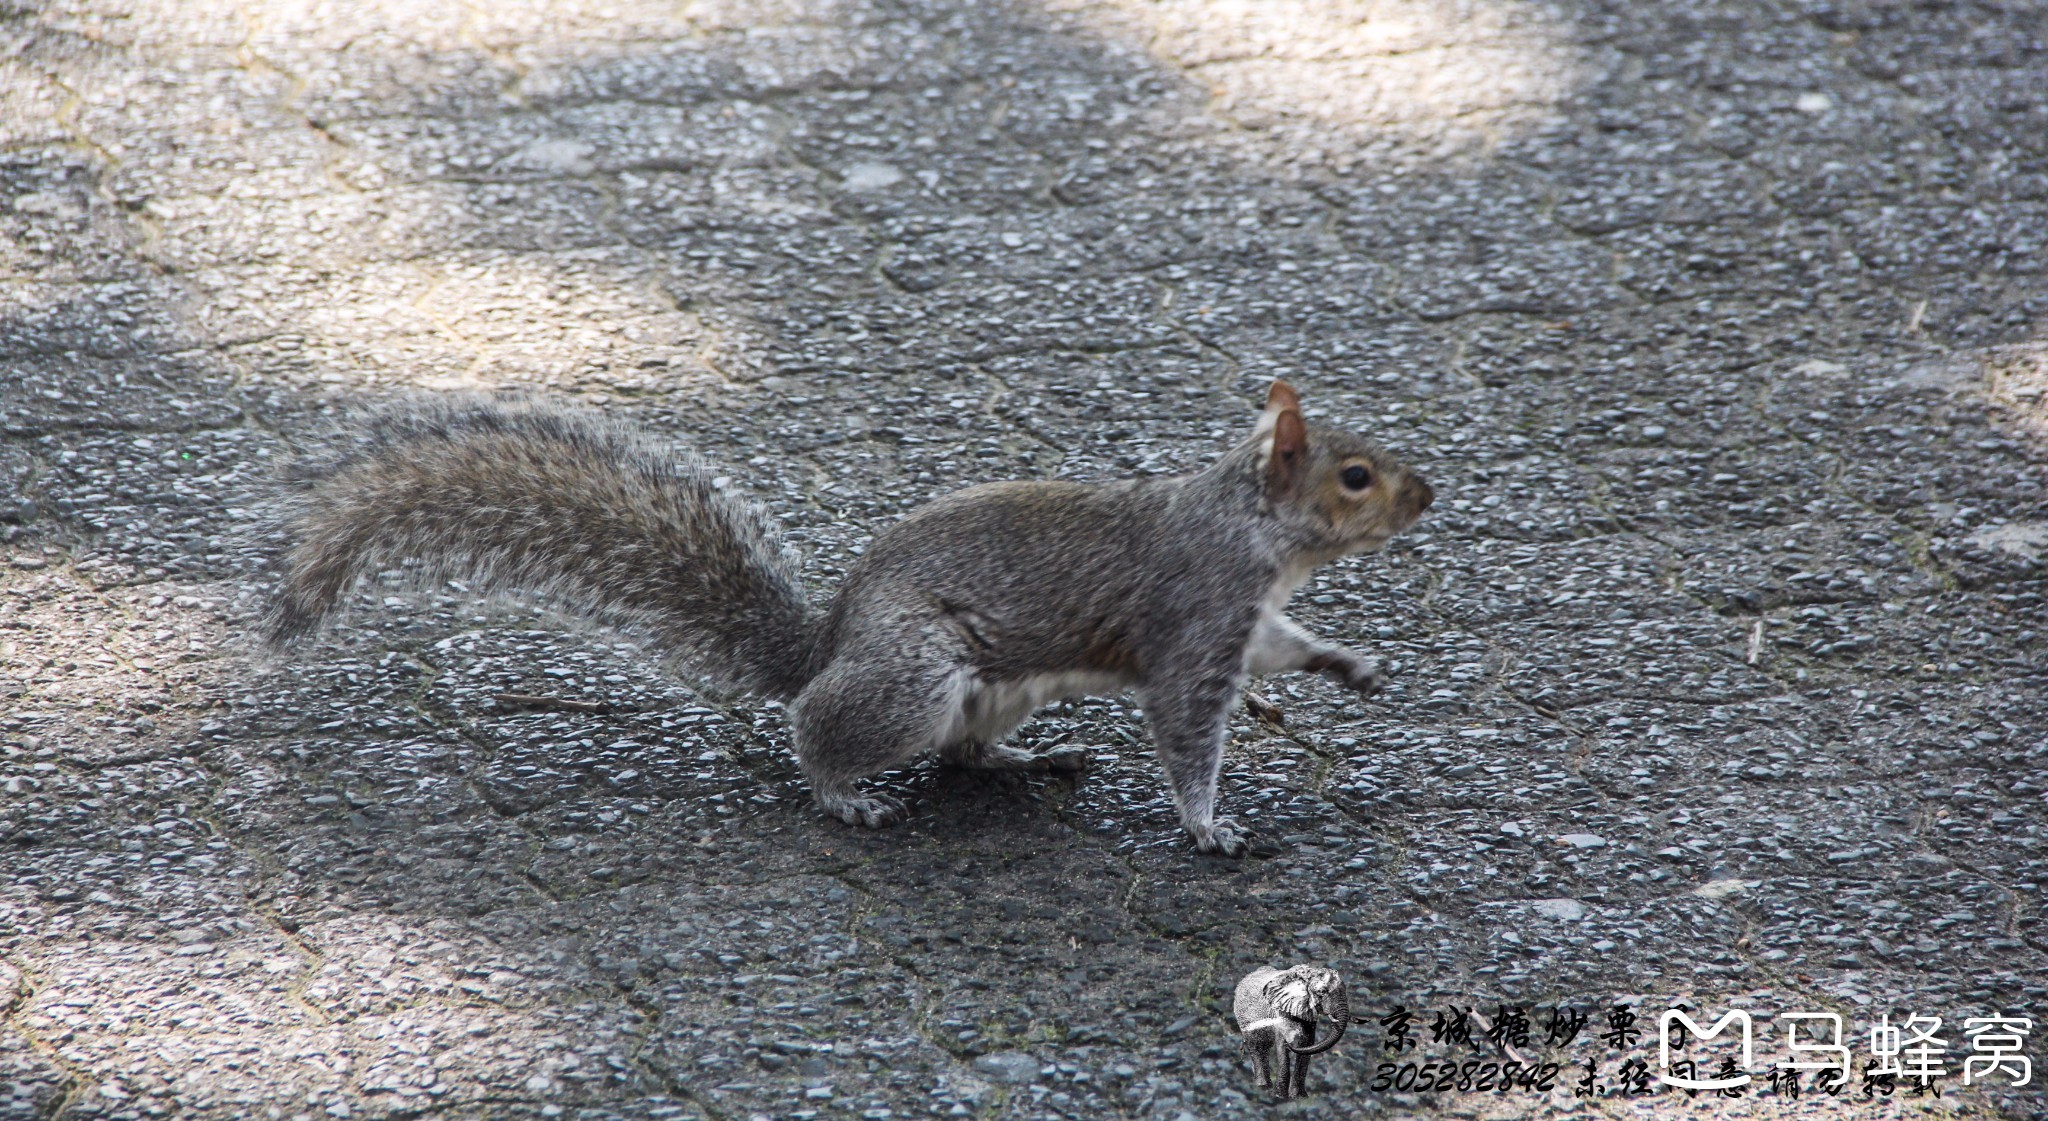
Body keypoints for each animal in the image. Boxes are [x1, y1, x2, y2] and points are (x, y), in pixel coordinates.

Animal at [264, 381, 1433, 856]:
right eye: (1355, 475)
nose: (1429, 495)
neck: (1252, 532)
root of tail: (827, 643)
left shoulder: (1244, 620)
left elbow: (1288, 649)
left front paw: (1351, 665)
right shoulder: (1194, 625)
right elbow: (1189, 738)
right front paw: (1207, 825)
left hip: (980, 691)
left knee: (966, 754)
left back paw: (1029, 758)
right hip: (914, 673)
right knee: (819, 729)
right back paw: (842, 794)